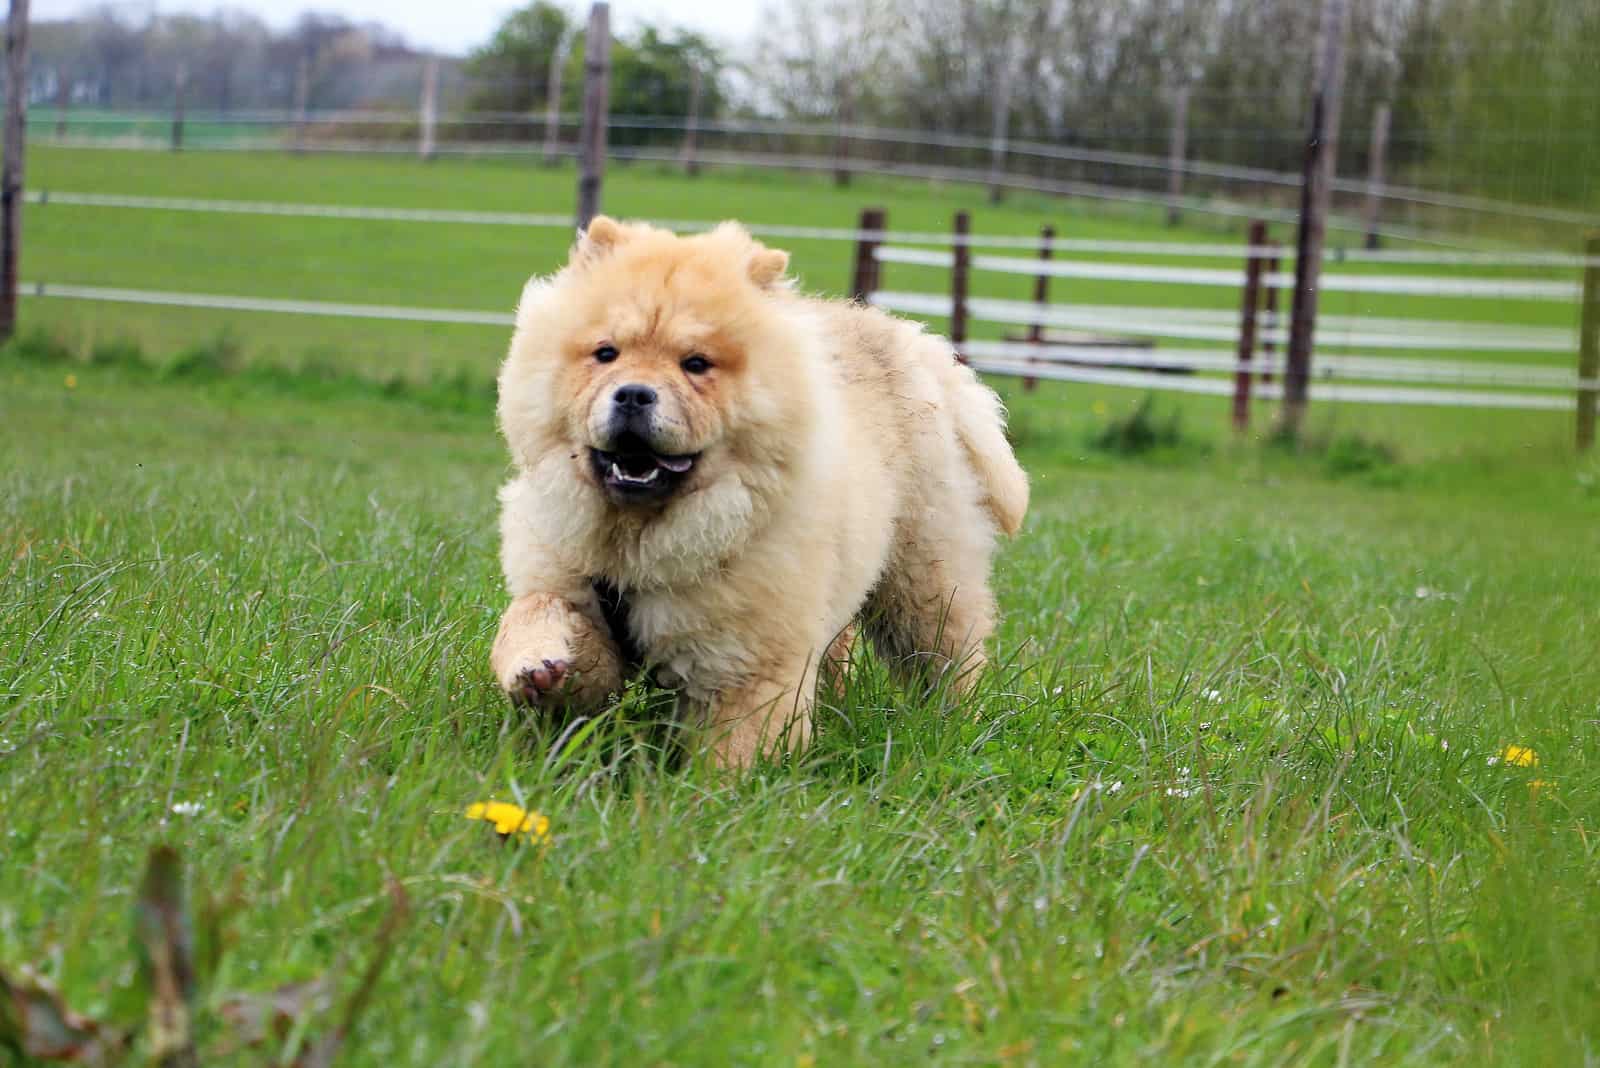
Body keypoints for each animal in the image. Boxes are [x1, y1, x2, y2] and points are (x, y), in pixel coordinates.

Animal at [492, 219, 1030, 767]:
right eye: (606, 354)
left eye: (696, 364)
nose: (634, 394)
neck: (639, 541)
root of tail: (918, 345)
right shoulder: (561, 569)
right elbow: (536, 612)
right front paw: (540, 667)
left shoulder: (748, 658)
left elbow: (736, 749)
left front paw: (715, 787)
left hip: (924, 581)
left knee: (950, 658)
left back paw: (960, 732)